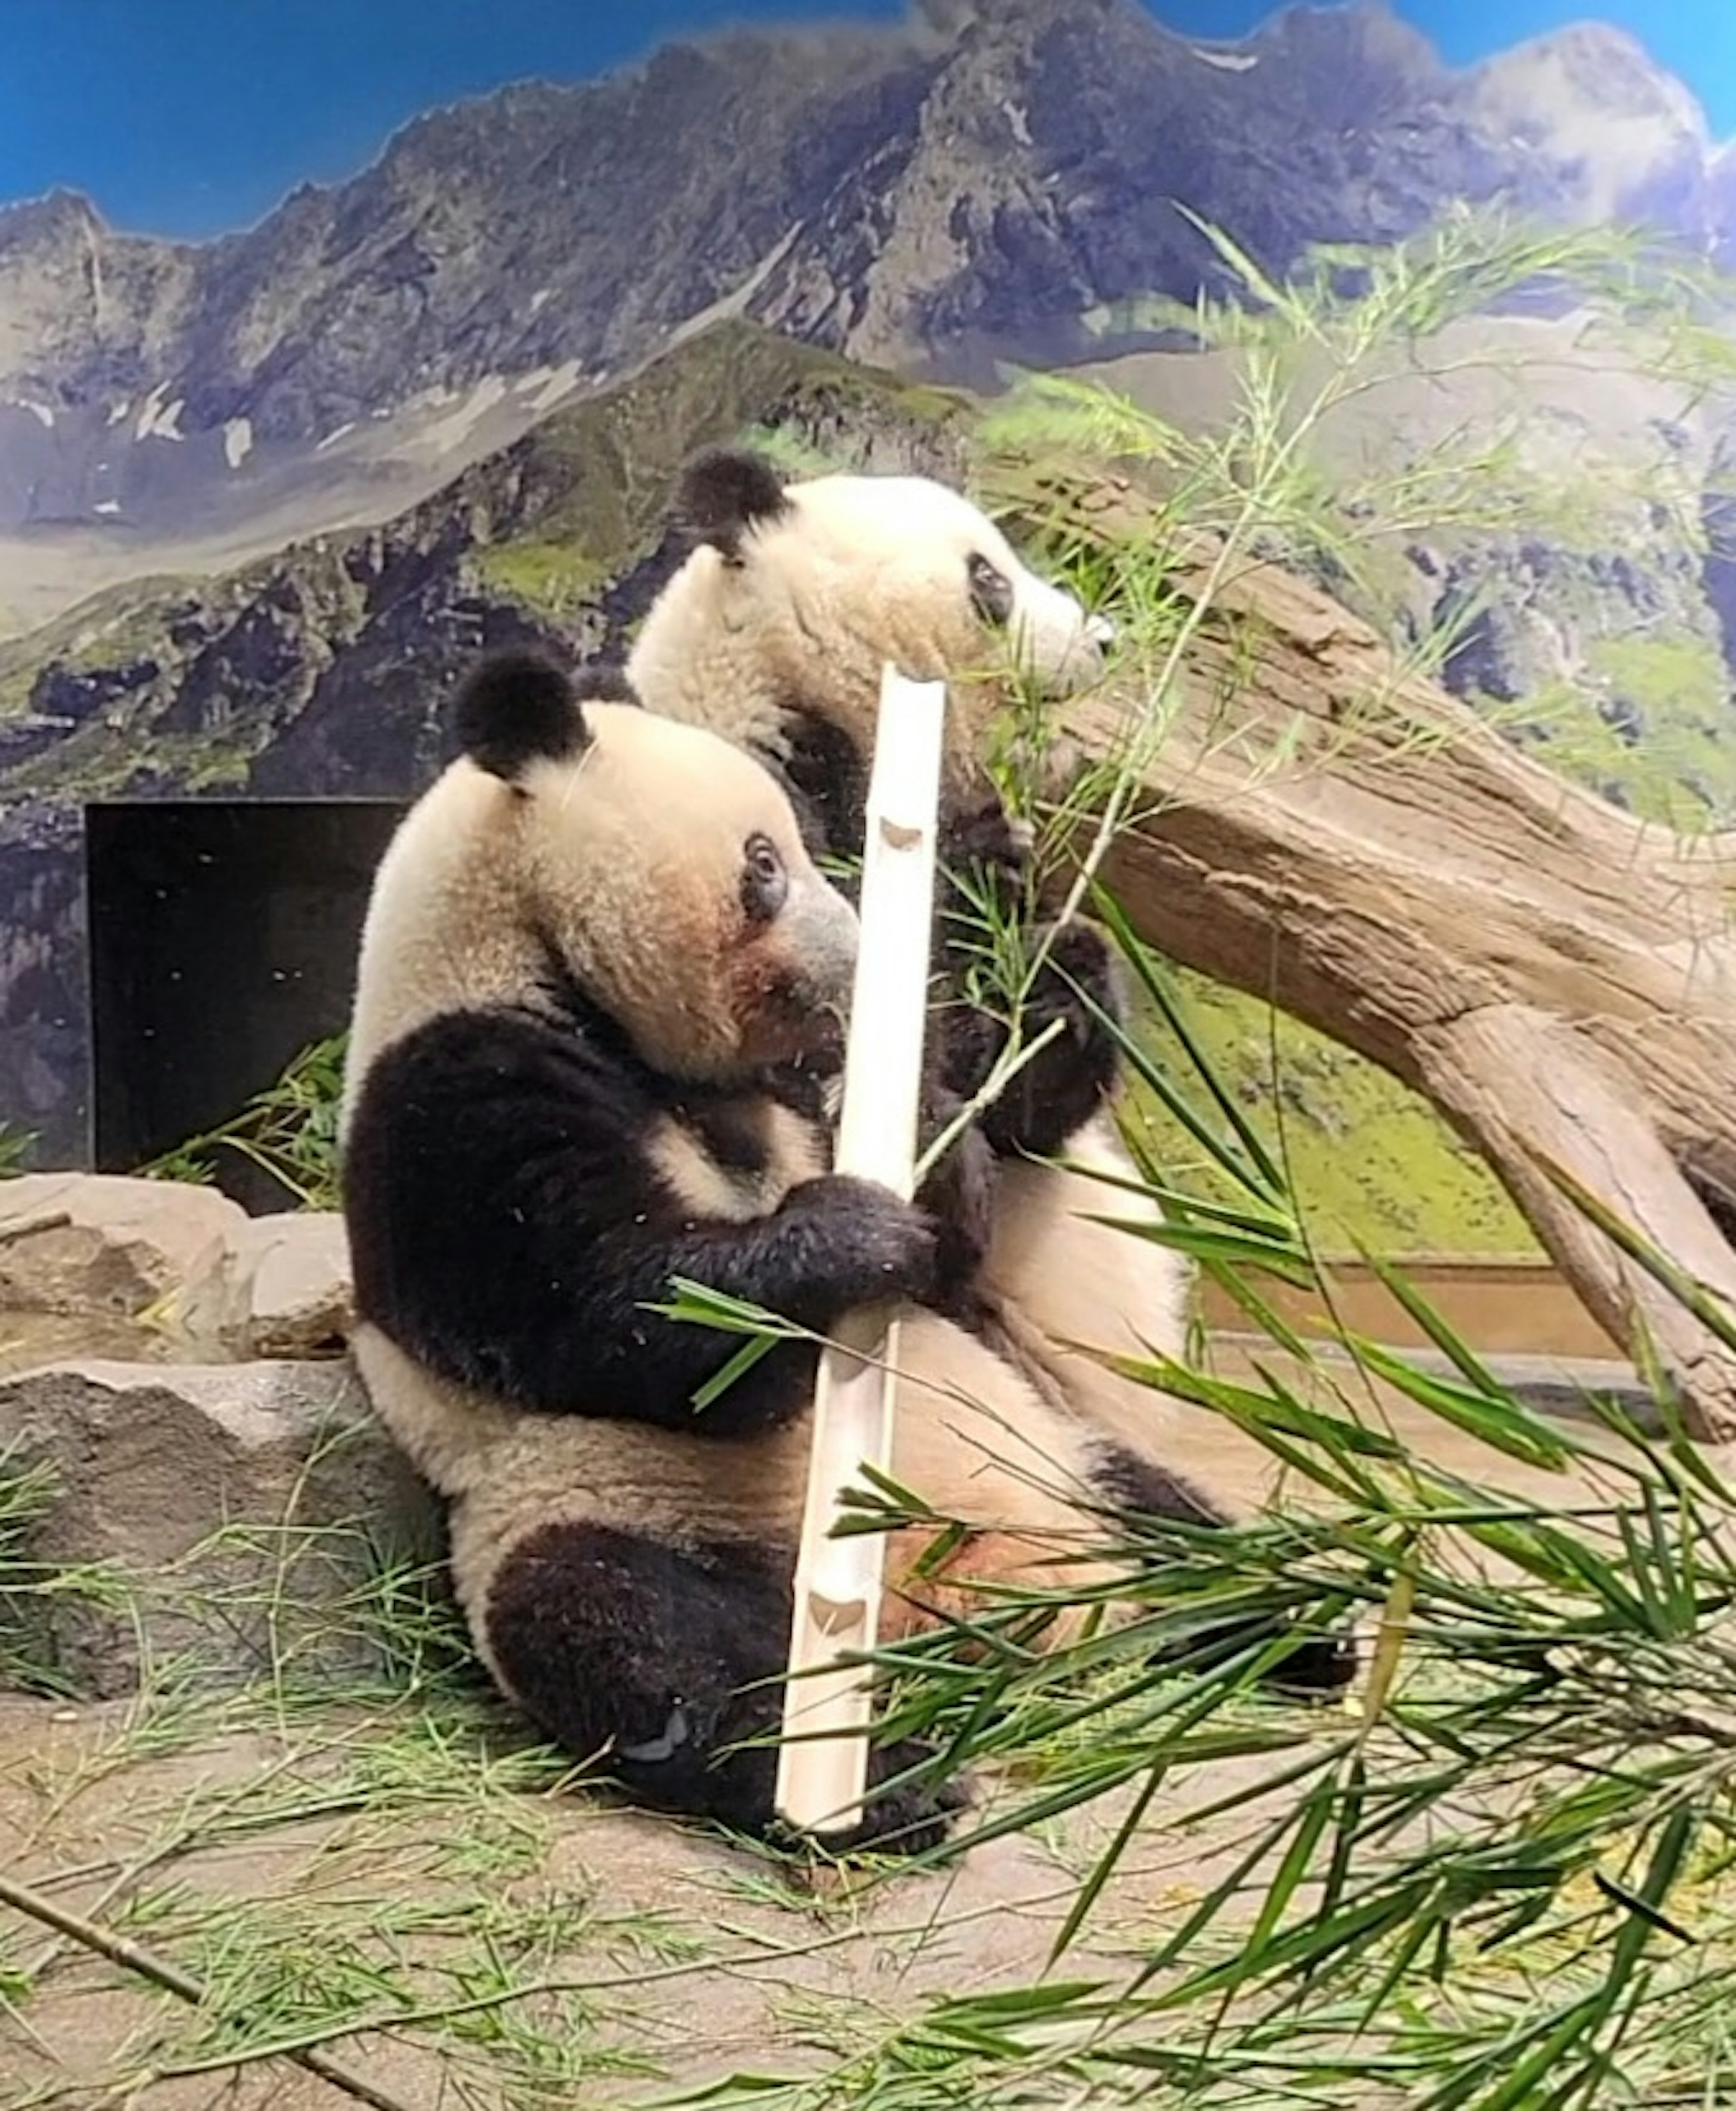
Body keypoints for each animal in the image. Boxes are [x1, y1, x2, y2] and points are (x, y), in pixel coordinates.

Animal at [335, 650, 1343, 1857]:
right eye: (765, 864)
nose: (864, 964)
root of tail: (973, 1631)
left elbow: (964, 1224)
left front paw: (1019, 978)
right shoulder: (449, 1103)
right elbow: (618, 1322)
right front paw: (846, 1235)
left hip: (1043, 1445)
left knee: (1173, 1525)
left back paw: (1305, 1624)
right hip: (599, 1509)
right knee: (643, 1643)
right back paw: (881, 1790)